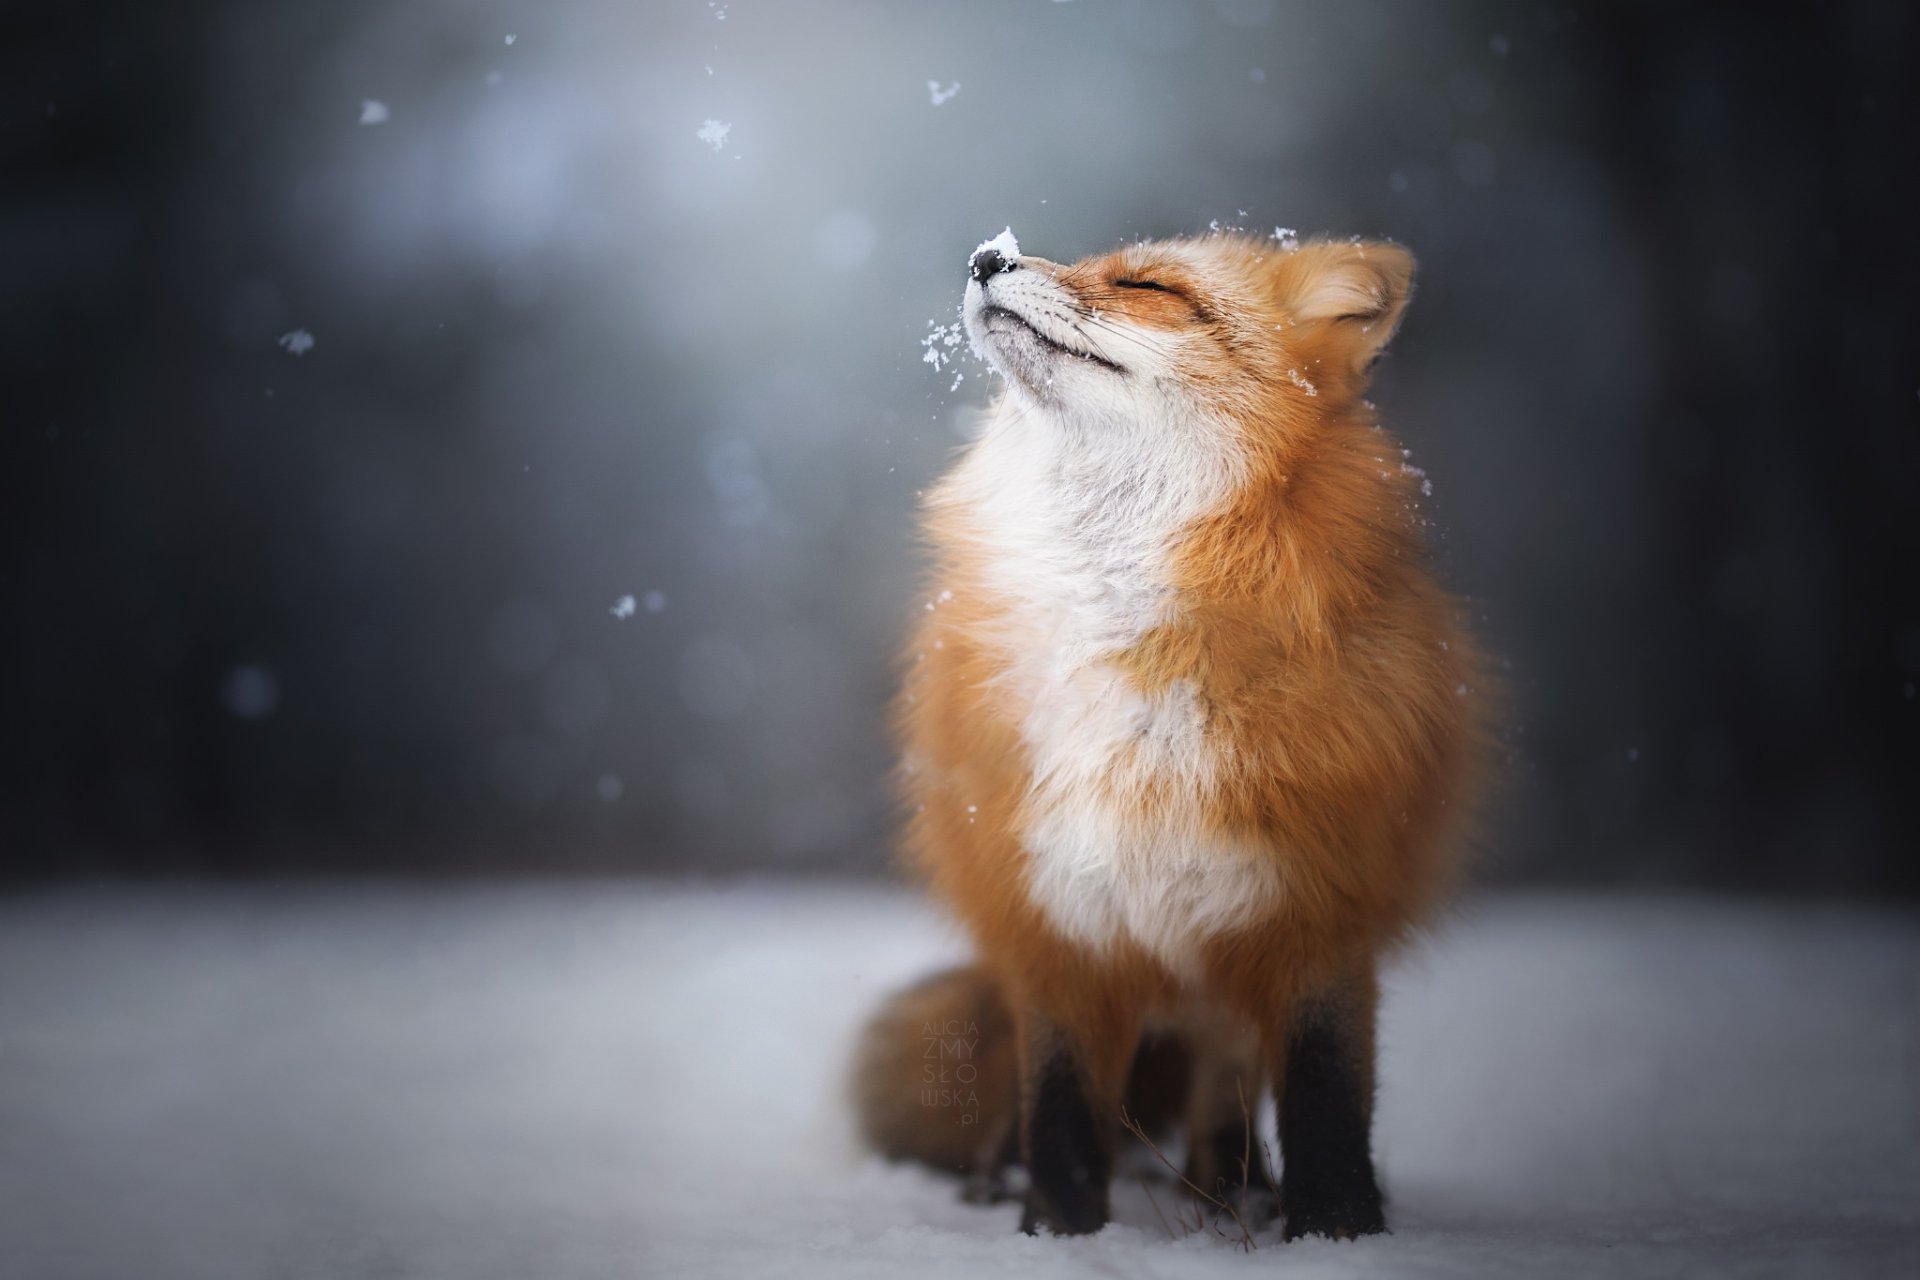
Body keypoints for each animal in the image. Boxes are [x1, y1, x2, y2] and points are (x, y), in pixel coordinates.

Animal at [857, 227, 1490, 1241]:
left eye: (1148, 285)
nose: (987, 256)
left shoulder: (1321, 912)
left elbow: (1326, 1103)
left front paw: (1337, 1233)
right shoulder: (1057, 920)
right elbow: (1061, 1113)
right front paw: (1056, 1235)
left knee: (1223, 1091)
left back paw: (1231, 1195)